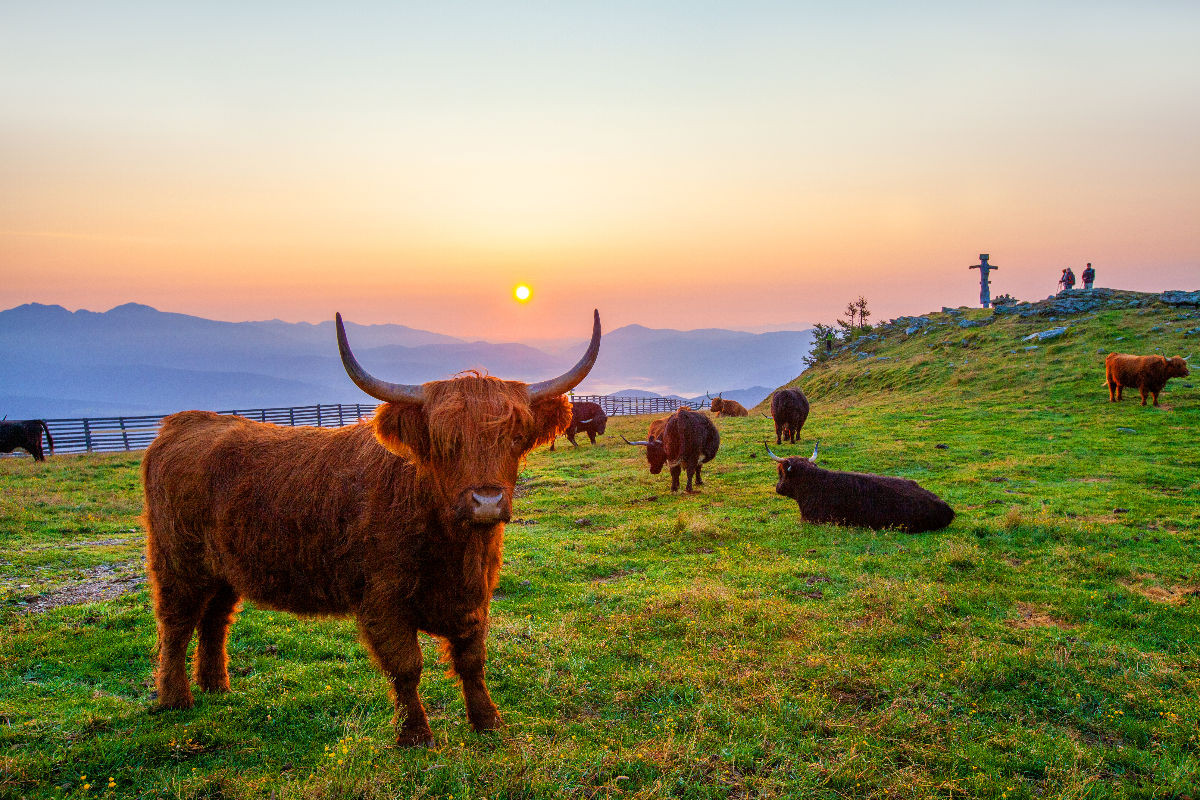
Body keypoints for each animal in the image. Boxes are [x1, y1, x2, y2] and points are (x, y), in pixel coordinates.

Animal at [142, 311, 600, 743]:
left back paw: (215, 685)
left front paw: (488, 722)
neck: (454, 548)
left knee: (215, 619)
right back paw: (176, 698)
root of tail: (183, 423)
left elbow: (472, 659)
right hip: (178, 563)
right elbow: (407, 666)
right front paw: (415, 735)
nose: (486, 501)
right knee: (175, 624)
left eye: (515, 437)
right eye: (443, 442)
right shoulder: (382, 599)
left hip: (223, 569)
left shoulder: (475, 596)